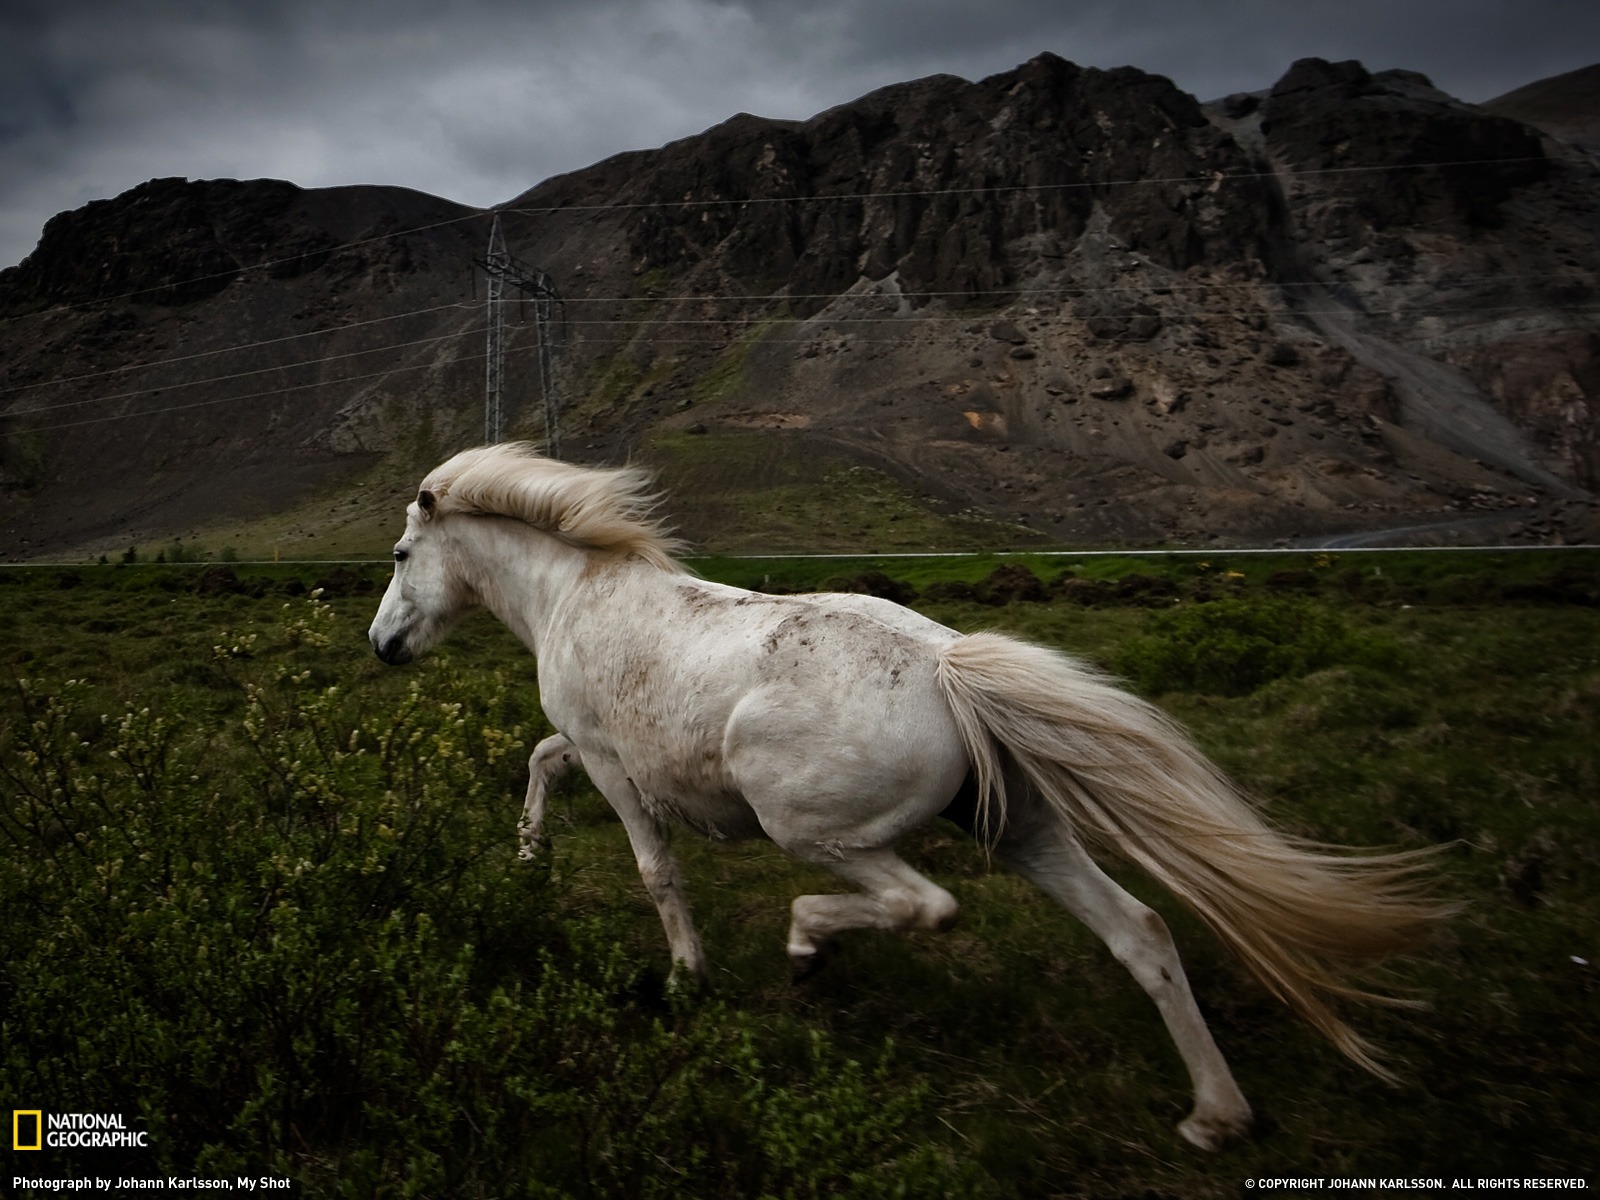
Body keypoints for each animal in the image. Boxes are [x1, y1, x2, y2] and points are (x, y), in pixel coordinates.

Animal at [368, 444, 1446, 1158]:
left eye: (399, 556)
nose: (381, 647)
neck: (576, 593)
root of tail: (949, 666)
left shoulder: (612, 763)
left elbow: (651, 867)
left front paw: (684, 978)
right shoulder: (597, 755)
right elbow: (540, 766)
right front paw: (526, 862)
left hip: (811, 827)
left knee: (922, 904)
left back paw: (808, 948)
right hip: (1023, 831)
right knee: (1139, 931)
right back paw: (1216, 1115)